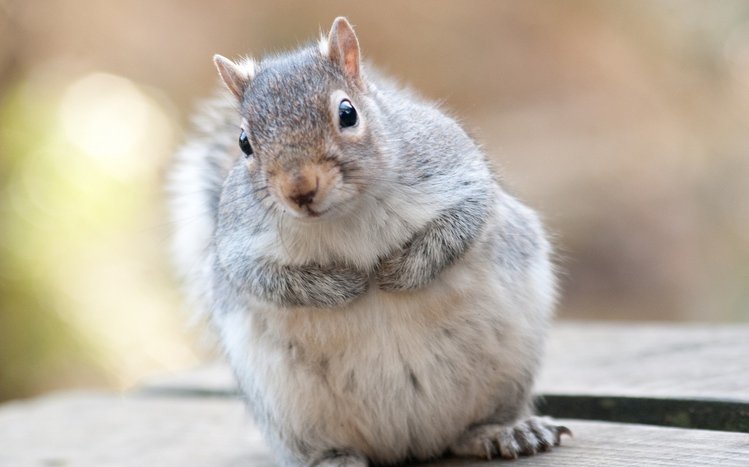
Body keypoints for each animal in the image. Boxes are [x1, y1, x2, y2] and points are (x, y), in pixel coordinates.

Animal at [169, 16, 570, 467]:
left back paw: (505, 430)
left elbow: (462, 220)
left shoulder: (458, 170)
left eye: (348, 113)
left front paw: (399, 273)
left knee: (472, 428)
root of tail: (410, 442)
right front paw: (344, 285)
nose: (299, 189)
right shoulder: (238, 244)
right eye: (244, 142)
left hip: (508, 369)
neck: (345, 213)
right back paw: (334, 459)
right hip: (289, 413)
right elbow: (263, 278)